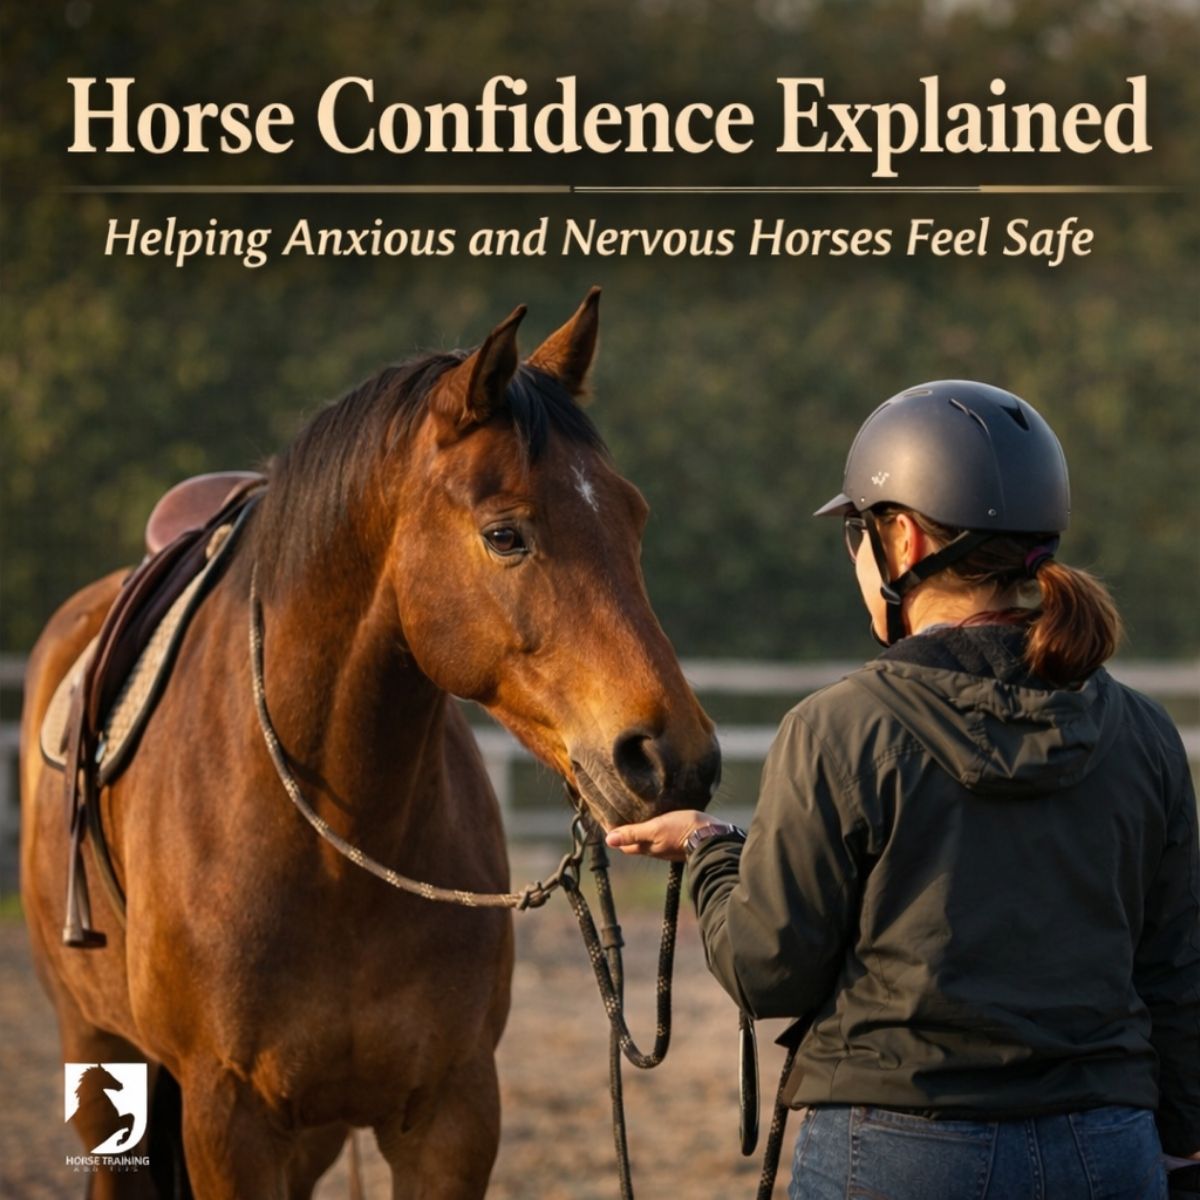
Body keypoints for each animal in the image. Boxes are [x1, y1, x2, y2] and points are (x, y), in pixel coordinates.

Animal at [20, 290, 721, 1199]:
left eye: (632, 518)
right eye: (505, 535)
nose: (673, 759)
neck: (332, 847)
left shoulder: (452, 1115)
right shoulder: (229, 1120)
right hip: (104, 1056)